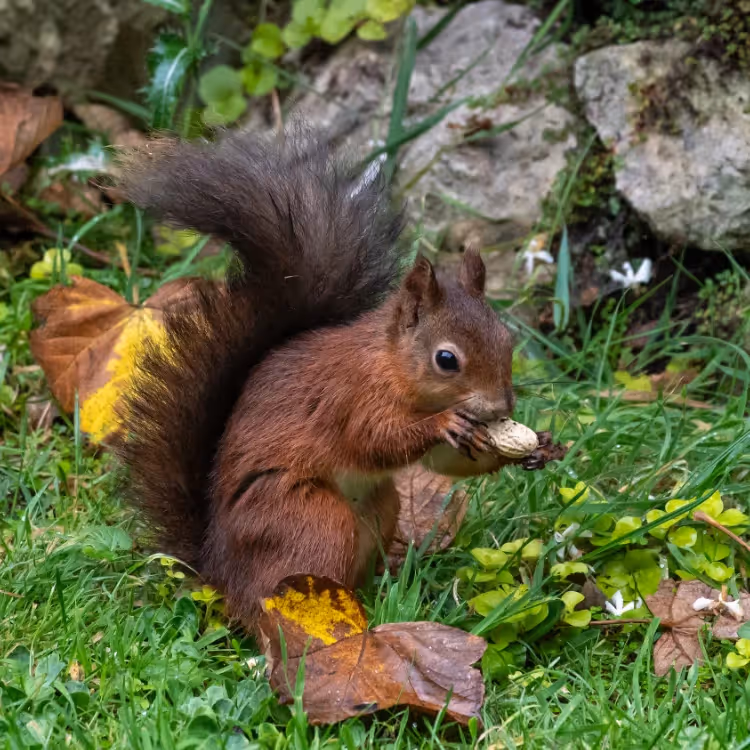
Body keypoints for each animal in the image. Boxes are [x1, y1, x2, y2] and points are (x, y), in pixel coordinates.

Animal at [116, 128, 517, 634]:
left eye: (508, 339)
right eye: (446, 359)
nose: (502, 408)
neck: (390, 364)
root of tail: (219, 575)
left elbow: (442, 463)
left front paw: (532, 448)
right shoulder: (350, 397)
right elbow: (375, 441)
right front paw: (443, 423)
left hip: (379, 507)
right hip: (308, 519)